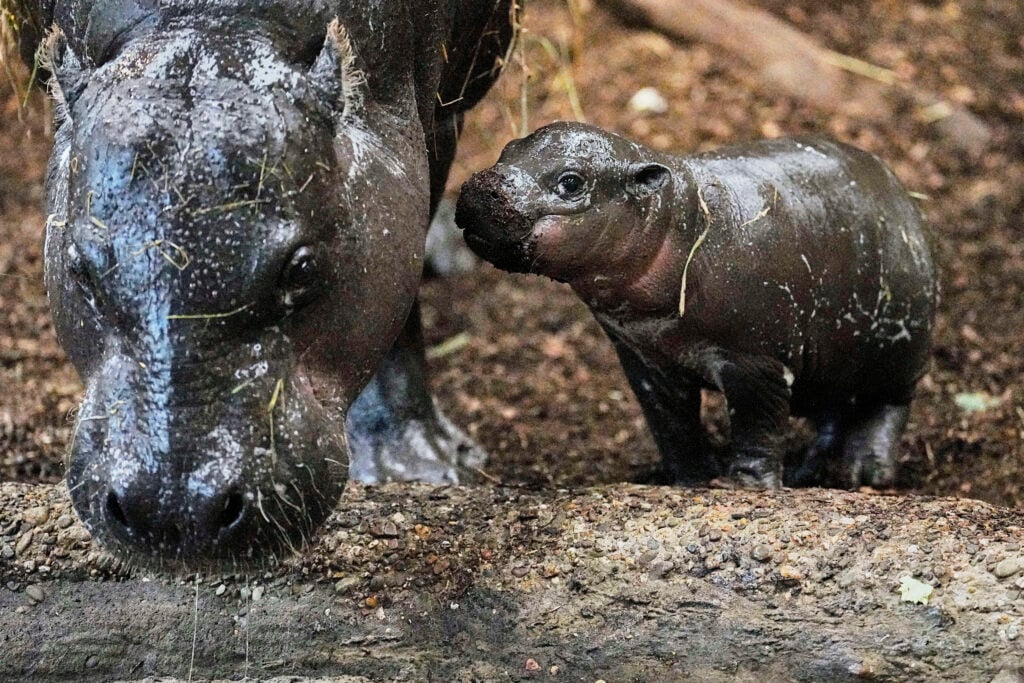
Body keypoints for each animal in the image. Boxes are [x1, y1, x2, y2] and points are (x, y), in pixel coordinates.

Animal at [456, 122, 938, 489]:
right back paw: (807, 471)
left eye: (571, 181)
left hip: (898, 351)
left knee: (887, 407)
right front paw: (691, 481)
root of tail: (903, 195)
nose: (483, 185)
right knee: (834, 414)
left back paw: (865, 474)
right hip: (829, 362)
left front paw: (743, 486)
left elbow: (756, 425)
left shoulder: (756, 360)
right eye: (507, 149)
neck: (678, 216)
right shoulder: (644, 358)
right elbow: (672, 426)